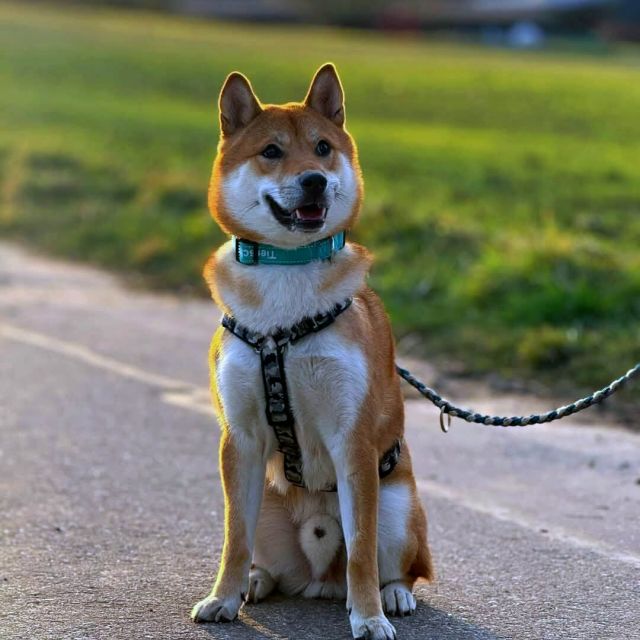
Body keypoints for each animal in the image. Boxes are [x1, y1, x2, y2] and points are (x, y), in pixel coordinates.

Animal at [189, 63, 430, 640]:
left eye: (322, 148)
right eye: (271, 152)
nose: (314, 179)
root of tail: (321, 581)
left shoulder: (352, 441)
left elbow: (362, 553)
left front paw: (368, 617)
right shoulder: (241, 438)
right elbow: (233, 541)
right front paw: (223, 598)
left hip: (396, 505)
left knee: (398, 566)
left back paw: (393, 595)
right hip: (266, 499)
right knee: (263, 555)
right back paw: (255, 583)